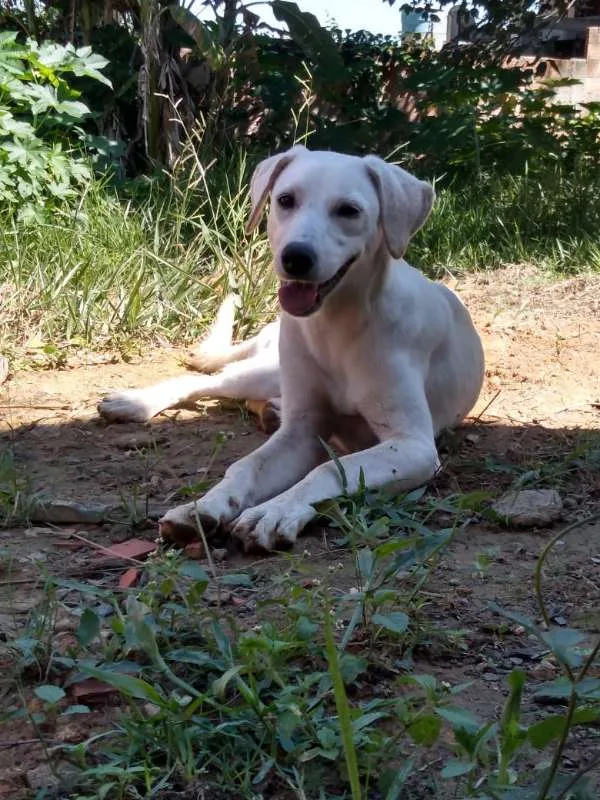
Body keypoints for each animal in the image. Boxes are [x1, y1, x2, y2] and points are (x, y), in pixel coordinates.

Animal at [97, 147, 482, 552]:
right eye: (285, 200)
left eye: (349, 210)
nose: (296, 257)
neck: (334, 327)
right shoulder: (301, 433)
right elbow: (246, 466)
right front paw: (203, 506)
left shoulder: (412, 445)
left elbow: (328, 468)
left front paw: (274, 511)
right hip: (268, 369)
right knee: (204, 381)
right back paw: (134, 403)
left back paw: (271, 411)